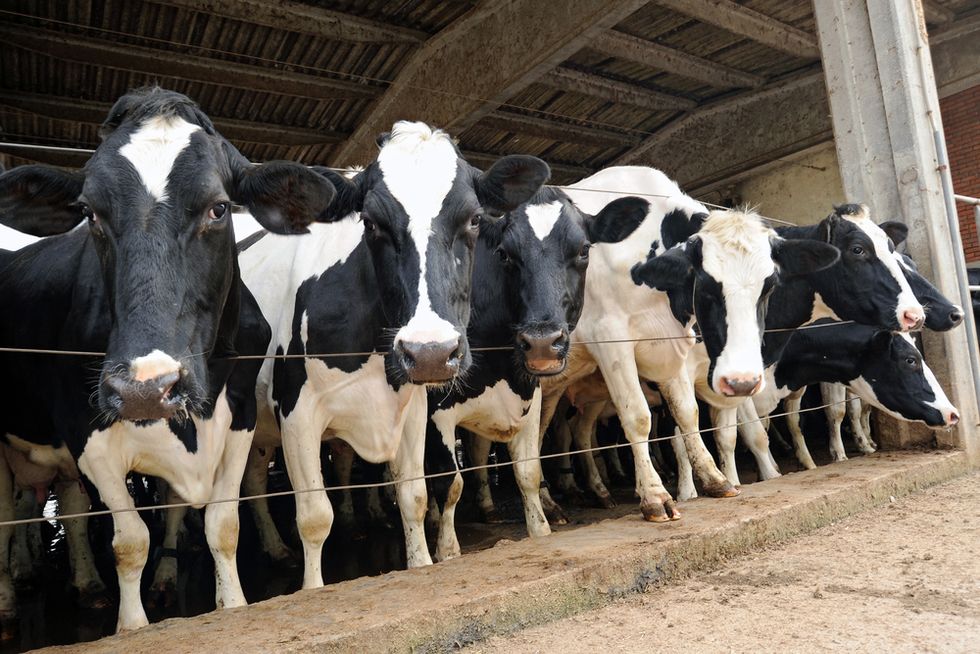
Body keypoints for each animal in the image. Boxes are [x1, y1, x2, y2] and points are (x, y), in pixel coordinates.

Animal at [0, 87, 337, 631]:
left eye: (219, 208)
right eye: (89, 212)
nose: (145, 388)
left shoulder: (239, 417)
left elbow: (222, 524)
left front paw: (232, 604)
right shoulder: (84, 430)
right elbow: (131, 541)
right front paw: (132, 627)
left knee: (67, 501)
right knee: (12, 517)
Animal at [236, 122, 551, 589]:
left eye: (475, 219)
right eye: (371, 222)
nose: (431, 352)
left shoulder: (415, 409)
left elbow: (413, 495)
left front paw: (421, 561)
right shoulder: (296, 412)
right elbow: (314, 516)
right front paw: (312, 587)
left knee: (255, 479)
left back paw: (276, 550)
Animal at [423, 187, 648, 561]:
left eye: (584, 250)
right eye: (504, 254)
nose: (542, 343)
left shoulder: (529, 397)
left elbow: (528, 470)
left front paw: (540, 528)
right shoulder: (437, 411)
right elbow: (450, 482)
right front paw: (447, 550)